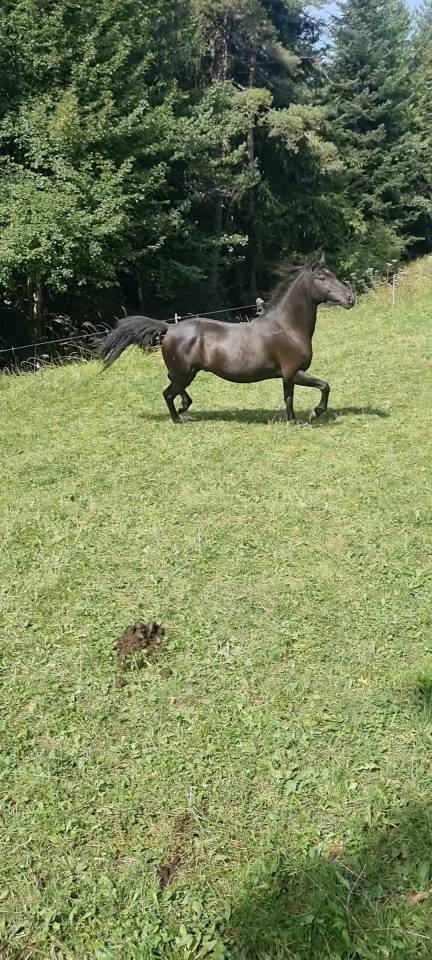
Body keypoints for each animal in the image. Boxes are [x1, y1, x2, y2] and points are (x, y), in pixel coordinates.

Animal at [98, 257, 355, 425]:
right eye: (322, 277)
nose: (350, 298)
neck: (287, 328)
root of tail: (169, 327)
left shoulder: (288, 375)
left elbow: (288, 398)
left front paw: (292, 421)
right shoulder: (294, 371)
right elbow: (324, 386)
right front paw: (314, 413)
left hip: (186, 372)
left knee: (173, 386)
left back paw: (184, 406)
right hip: (185, 373)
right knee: (168, 393)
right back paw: (178, 419)